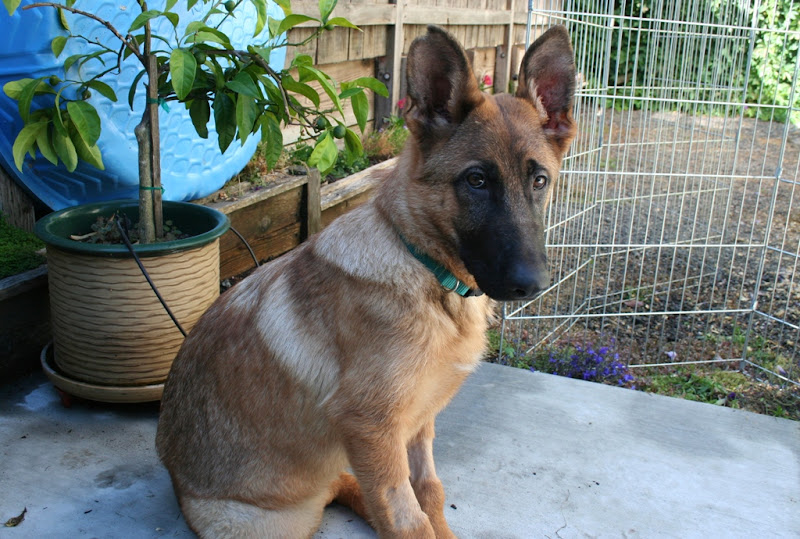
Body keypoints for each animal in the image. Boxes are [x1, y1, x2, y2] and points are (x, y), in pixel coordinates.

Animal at [156, 23, 576, 536]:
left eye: (539, 181)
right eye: (476, 181)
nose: (531, 284)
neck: (427, 272)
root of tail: (176, 482)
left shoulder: (416, 425)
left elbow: (429, 494)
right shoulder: (372, 429)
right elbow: (409, 519)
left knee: (348, 488)